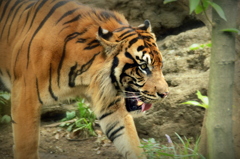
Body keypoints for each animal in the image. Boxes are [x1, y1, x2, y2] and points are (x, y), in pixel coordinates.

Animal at [0, 0, 169, 158]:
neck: (83, 76)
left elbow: (129, 140)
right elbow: (27, 146)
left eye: (161, 65)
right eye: (143, 67)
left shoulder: (110, 104)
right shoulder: (25, 99)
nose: (165, 94)